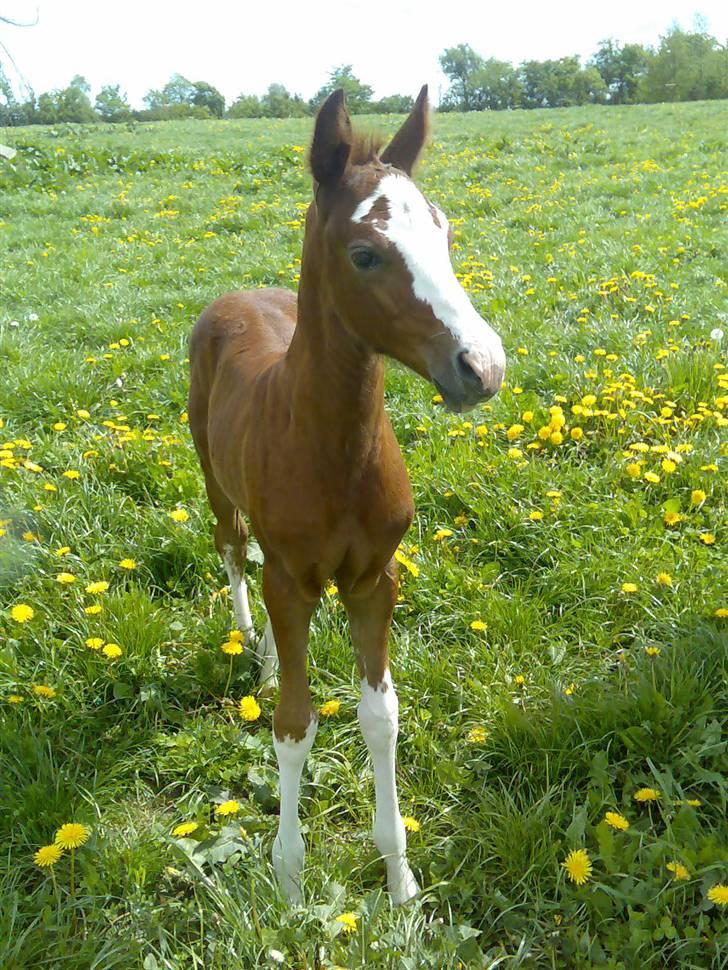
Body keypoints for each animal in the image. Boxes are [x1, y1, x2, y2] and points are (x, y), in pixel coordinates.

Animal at [188, 86, 505, 905]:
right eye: (365, 254)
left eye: (444, 233)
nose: (483, 366)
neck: (332, 453)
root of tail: (234, 295)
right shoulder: (296, 583)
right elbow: (294, 722)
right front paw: (290, 882)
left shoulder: (373, 580)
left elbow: (380, 715)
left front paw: (400, 878)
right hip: (212, 474)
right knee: (234, 547)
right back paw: (257, 648)